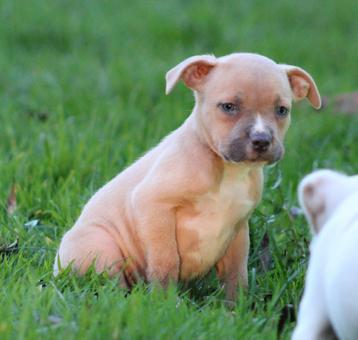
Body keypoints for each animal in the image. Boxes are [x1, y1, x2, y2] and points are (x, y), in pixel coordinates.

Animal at [55, 53, 322, 302]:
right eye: (228, 106)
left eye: (282, 110)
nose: (261, 140)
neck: (227, 169)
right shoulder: (153, 206)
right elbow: (166, 261)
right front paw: (163, 304)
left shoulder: (238, 229)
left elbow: (236, 274)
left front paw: (236, 309)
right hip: (101, 247)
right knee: (112, 286)